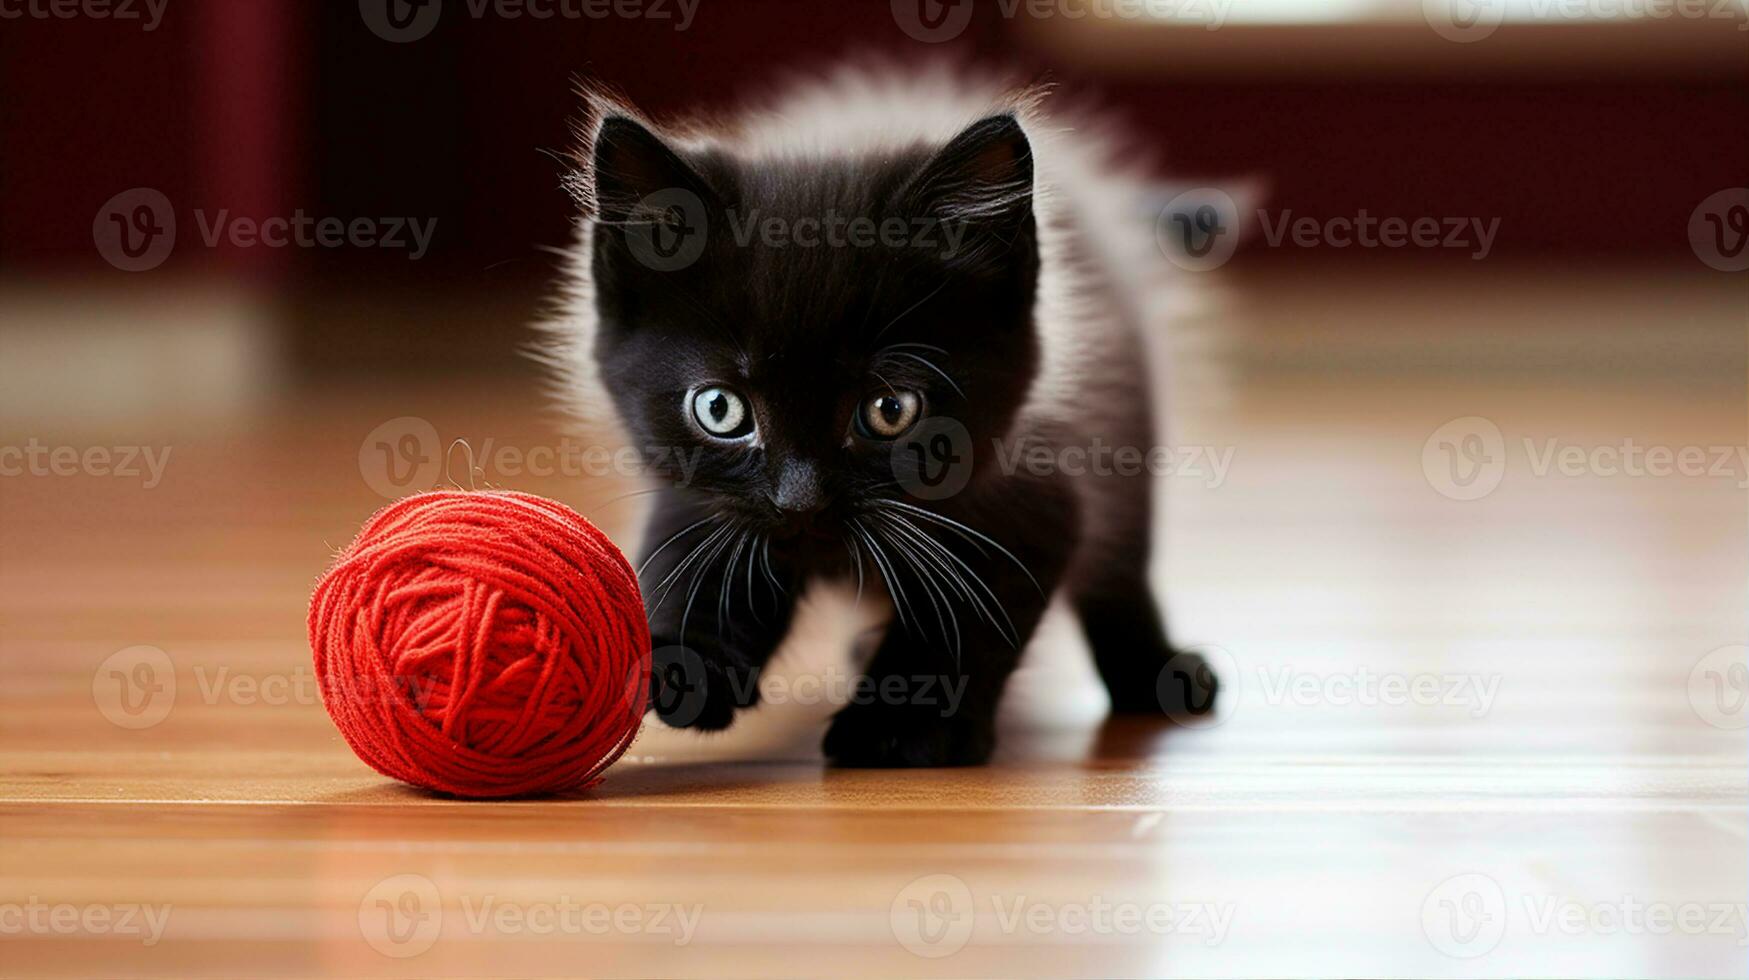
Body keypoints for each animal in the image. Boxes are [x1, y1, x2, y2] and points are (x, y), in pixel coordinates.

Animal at [545, 72, 1217, 770]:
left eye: (889, 410)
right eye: (720, 409)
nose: (800, 502)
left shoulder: (1034, 487)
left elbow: (963, 616)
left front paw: (901, 724)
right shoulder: (692, 485)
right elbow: (690, 555)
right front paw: (683, 663)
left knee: (1120, 565)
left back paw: (1156, 673)